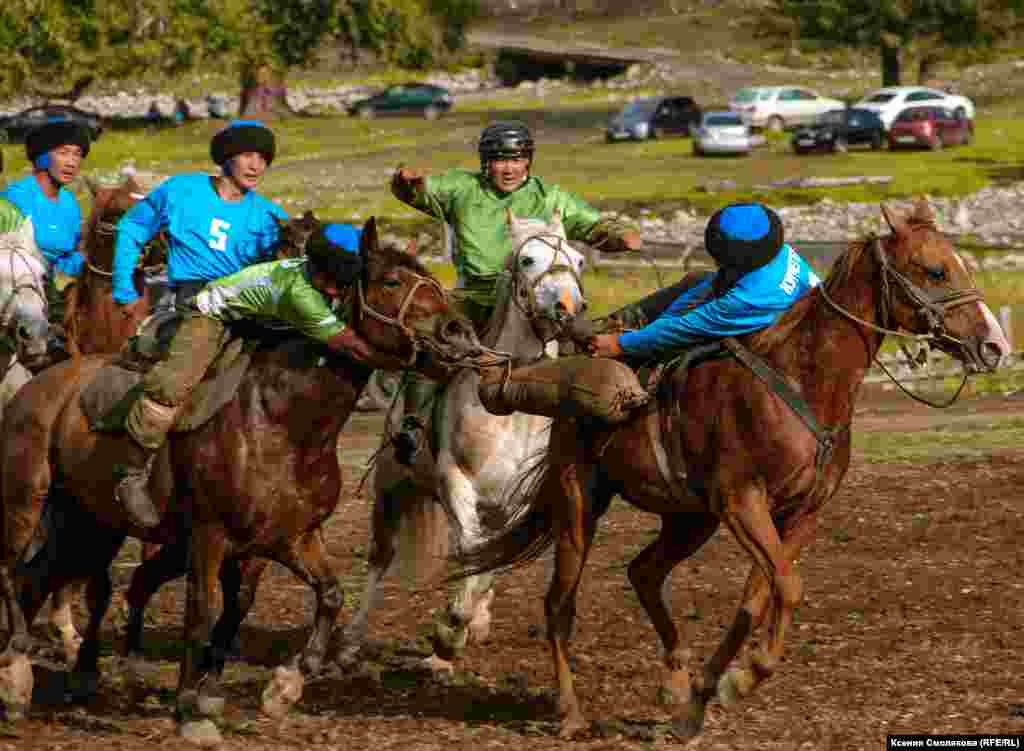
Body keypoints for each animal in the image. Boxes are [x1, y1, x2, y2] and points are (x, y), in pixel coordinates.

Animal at [0, 215, 487, 737]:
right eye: (393, 282)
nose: (459, 332)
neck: (280, 419)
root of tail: (35, 386)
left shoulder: (284, 540)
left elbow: (318, 596)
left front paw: (284, 685)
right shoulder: (209, 538)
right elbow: (203, 612)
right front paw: (189, 708)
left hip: (90, 522)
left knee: (56, 579)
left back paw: (62, 673)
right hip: (27, 502)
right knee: (16, 571)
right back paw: (17, 674)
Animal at [342, 211, 589, 672]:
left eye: (578, 259)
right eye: (528, 259)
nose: (568, 307)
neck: (510, 409)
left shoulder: (517, 506)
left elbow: (492, 558)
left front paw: (463, 627)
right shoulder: (456, 483)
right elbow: (472, 551)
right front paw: (447, 637)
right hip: (392, 485)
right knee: (380, 558)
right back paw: (349, 642)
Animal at [454, 201, 1007, 741]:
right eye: (935, 270)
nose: (995, 345)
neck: (800, 382)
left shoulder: (800, 514)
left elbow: (759, 597)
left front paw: (705, 697)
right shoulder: (743, 502)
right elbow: (785, 588)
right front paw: (743, 678)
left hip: (690, 518)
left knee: (644, 573)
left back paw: (675, 682)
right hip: (580, 501)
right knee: (559, 604)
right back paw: (570, 712)